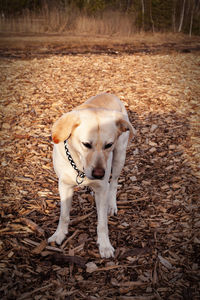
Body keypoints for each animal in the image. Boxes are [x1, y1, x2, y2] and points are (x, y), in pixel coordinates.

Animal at [47, 92, 134, 256]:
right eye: (86, 144)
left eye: (108, 145)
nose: (99, 174)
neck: (80, 167)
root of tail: (108, 93)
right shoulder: (64, 186)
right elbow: (64, 215)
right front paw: (59, 234)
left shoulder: (102, 187)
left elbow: (102, 223)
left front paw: (105, 245)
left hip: (119, 156)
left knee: (113, 183)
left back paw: (111, 205)